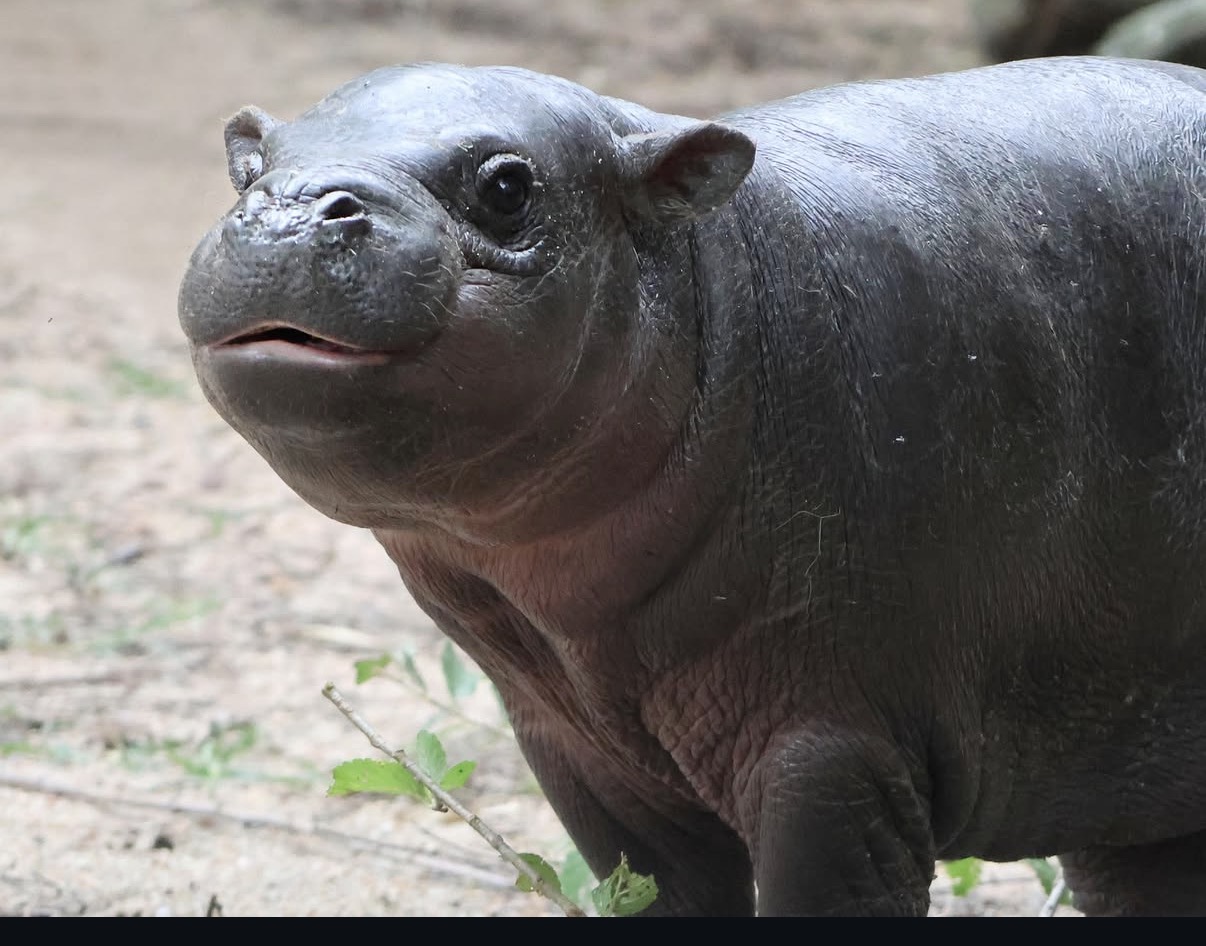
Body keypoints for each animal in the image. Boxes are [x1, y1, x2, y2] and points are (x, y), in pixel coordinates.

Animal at [179, 57, 1206, 915]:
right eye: (250, 167)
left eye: (508, 186)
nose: (289, 209)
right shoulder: (584, 758)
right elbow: (656, 893)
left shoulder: (826, 747)